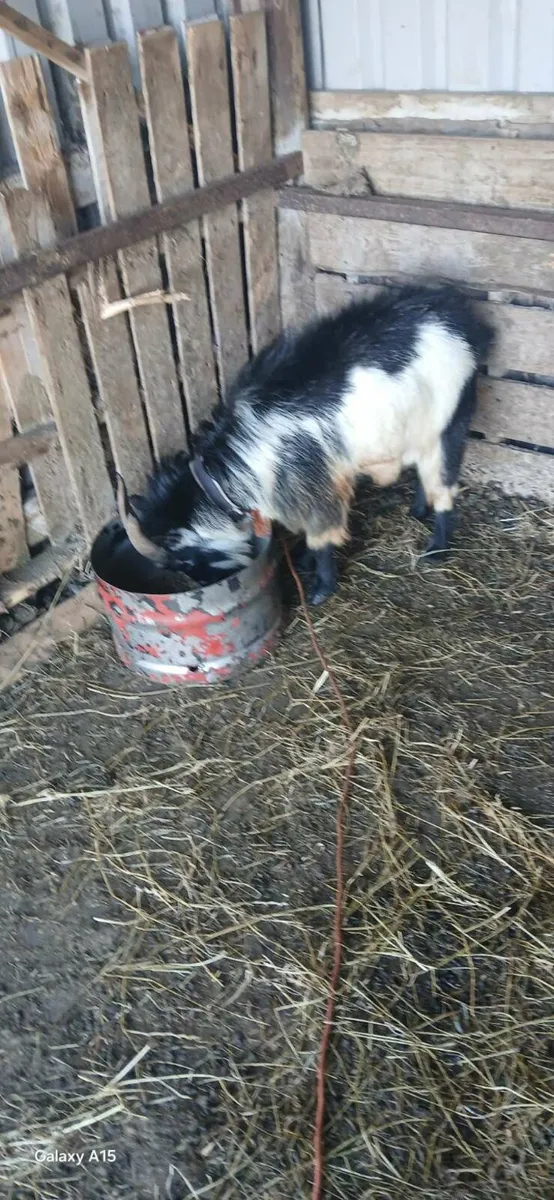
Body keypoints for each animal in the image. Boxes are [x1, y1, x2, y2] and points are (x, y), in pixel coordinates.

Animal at [117, 284, 493, 604]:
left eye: (185, 561)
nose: (204, 585)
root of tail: (459, 319)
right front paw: (302, 559)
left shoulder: (312, 487)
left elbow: (321, 537)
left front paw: (320, 589)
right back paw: (417, 511)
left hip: (448, 424)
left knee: (444, 485)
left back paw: (436, 549)